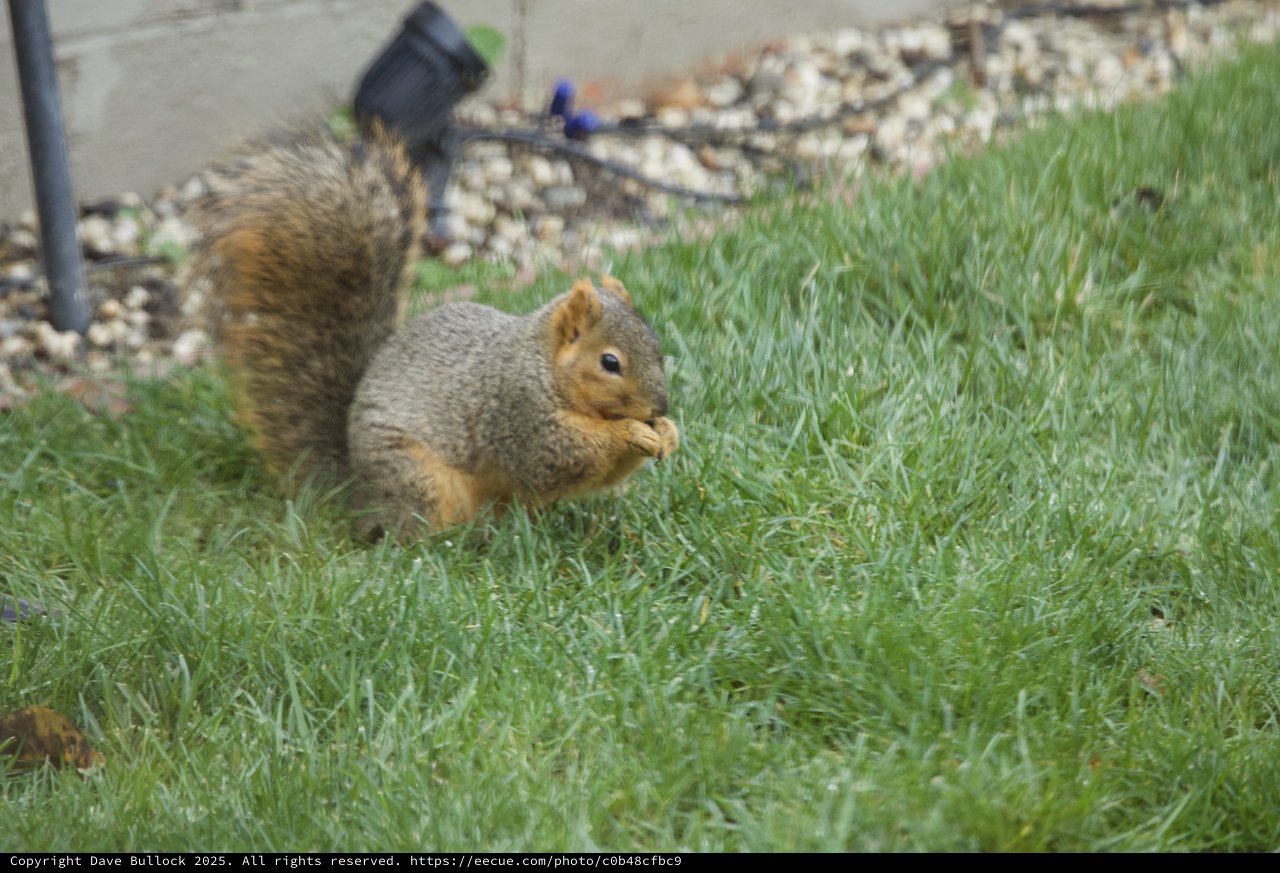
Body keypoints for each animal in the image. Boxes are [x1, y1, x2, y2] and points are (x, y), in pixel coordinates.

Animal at [189, 128, 679, 541]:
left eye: (657, 348)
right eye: (610, 362)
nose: (660, 406)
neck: (540, 365)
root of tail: (358, 497)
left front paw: (668, 433)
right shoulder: (517, 414)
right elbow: (559, 459)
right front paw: (630, 432)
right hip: (418, 477)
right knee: (413, 531)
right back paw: (457, 542)